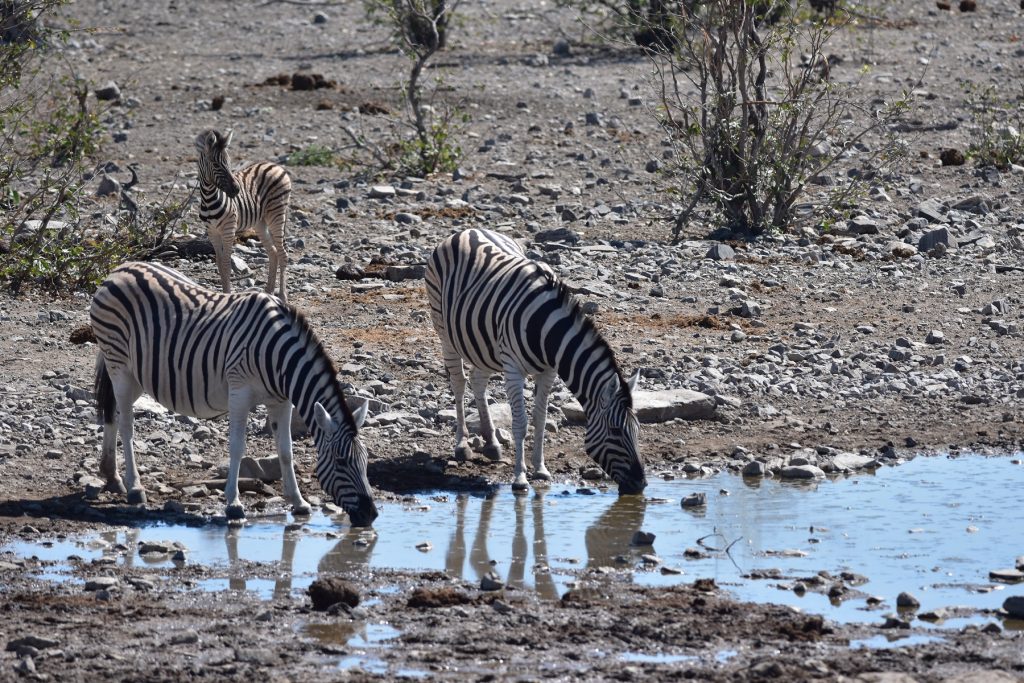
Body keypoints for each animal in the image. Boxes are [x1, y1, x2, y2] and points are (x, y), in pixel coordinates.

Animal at [90, 259, 378, 528]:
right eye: (341, 462)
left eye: (365, 461)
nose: (371, 515)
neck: (278, 358)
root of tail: (121, 268)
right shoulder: (239, 392)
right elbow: (237, 447)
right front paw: (234, 504)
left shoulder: (282, 401)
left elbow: (286, 451)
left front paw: (298, 502)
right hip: (119, 363)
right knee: (126, 424)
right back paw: (134, 488)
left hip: (137, 372)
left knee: (113, 412)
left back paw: (112, 476)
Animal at [193, 127, 290, 301]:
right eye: (215, 164)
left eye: (229, 162)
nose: (236, 190)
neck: (209, 200)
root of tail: (276, 166)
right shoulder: (212, 232)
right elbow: (219, 264)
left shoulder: (228, 230)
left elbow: (226, 264)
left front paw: (227, 295)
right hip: (260, 222)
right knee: (273, 252)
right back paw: (269, 291)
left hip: (277, 214)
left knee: (283, 253)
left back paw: (283, 297)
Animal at [423, 231, 647, 497]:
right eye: (615, 431)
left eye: (637, 429)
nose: (640, 484)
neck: (547, 330)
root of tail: (468, 231)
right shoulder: (513, 369)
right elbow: (520, 423)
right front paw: (520, 478)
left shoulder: (549, 371)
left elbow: (540, 418)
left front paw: (540, 469)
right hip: (444, 330)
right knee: (459, 383)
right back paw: (462, 445)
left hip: (482, 343)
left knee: (478, 381)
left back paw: (491, 443)